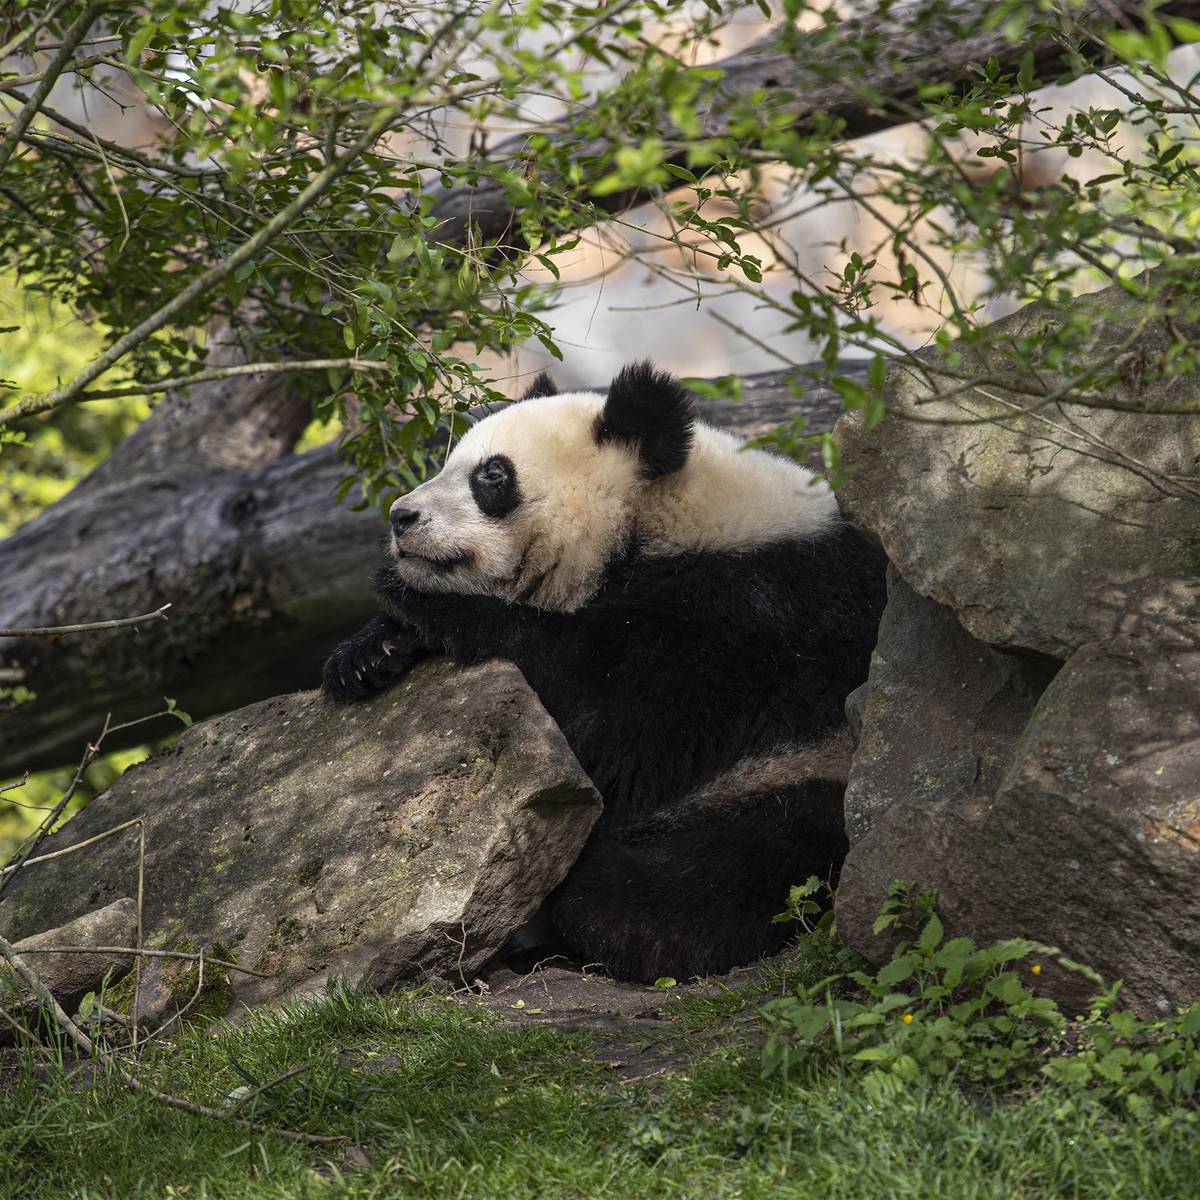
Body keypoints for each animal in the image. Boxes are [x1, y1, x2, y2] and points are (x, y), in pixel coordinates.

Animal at [324, 364, 888, 984]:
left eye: (492, 475)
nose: (401, 517)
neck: (661, 515)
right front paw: (367, 655)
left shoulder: (752, 620)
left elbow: (621, 729)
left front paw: (426, 604)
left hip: (811, 774)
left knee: (702, 880)